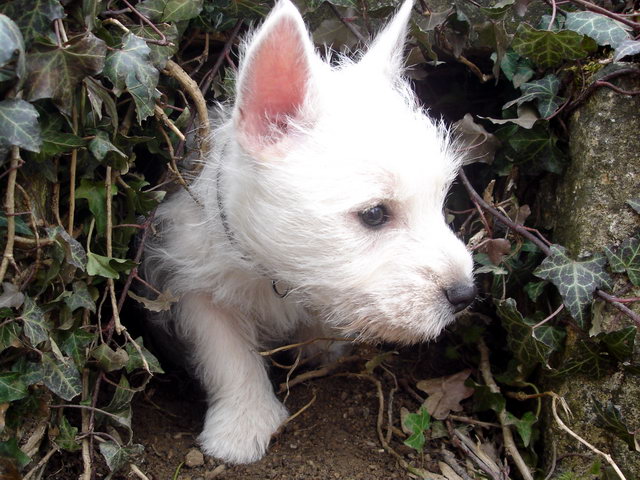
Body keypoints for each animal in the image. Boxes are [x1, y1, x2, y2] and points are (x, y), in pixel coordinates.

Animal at [145, 0, 476, 464]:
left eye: (441, 199)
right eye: (375, 214)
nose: (466, 294)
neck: (271, 274)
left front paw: (320, 347)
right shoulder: (192, 283)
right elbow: (227, 352)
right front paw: (243, 424)